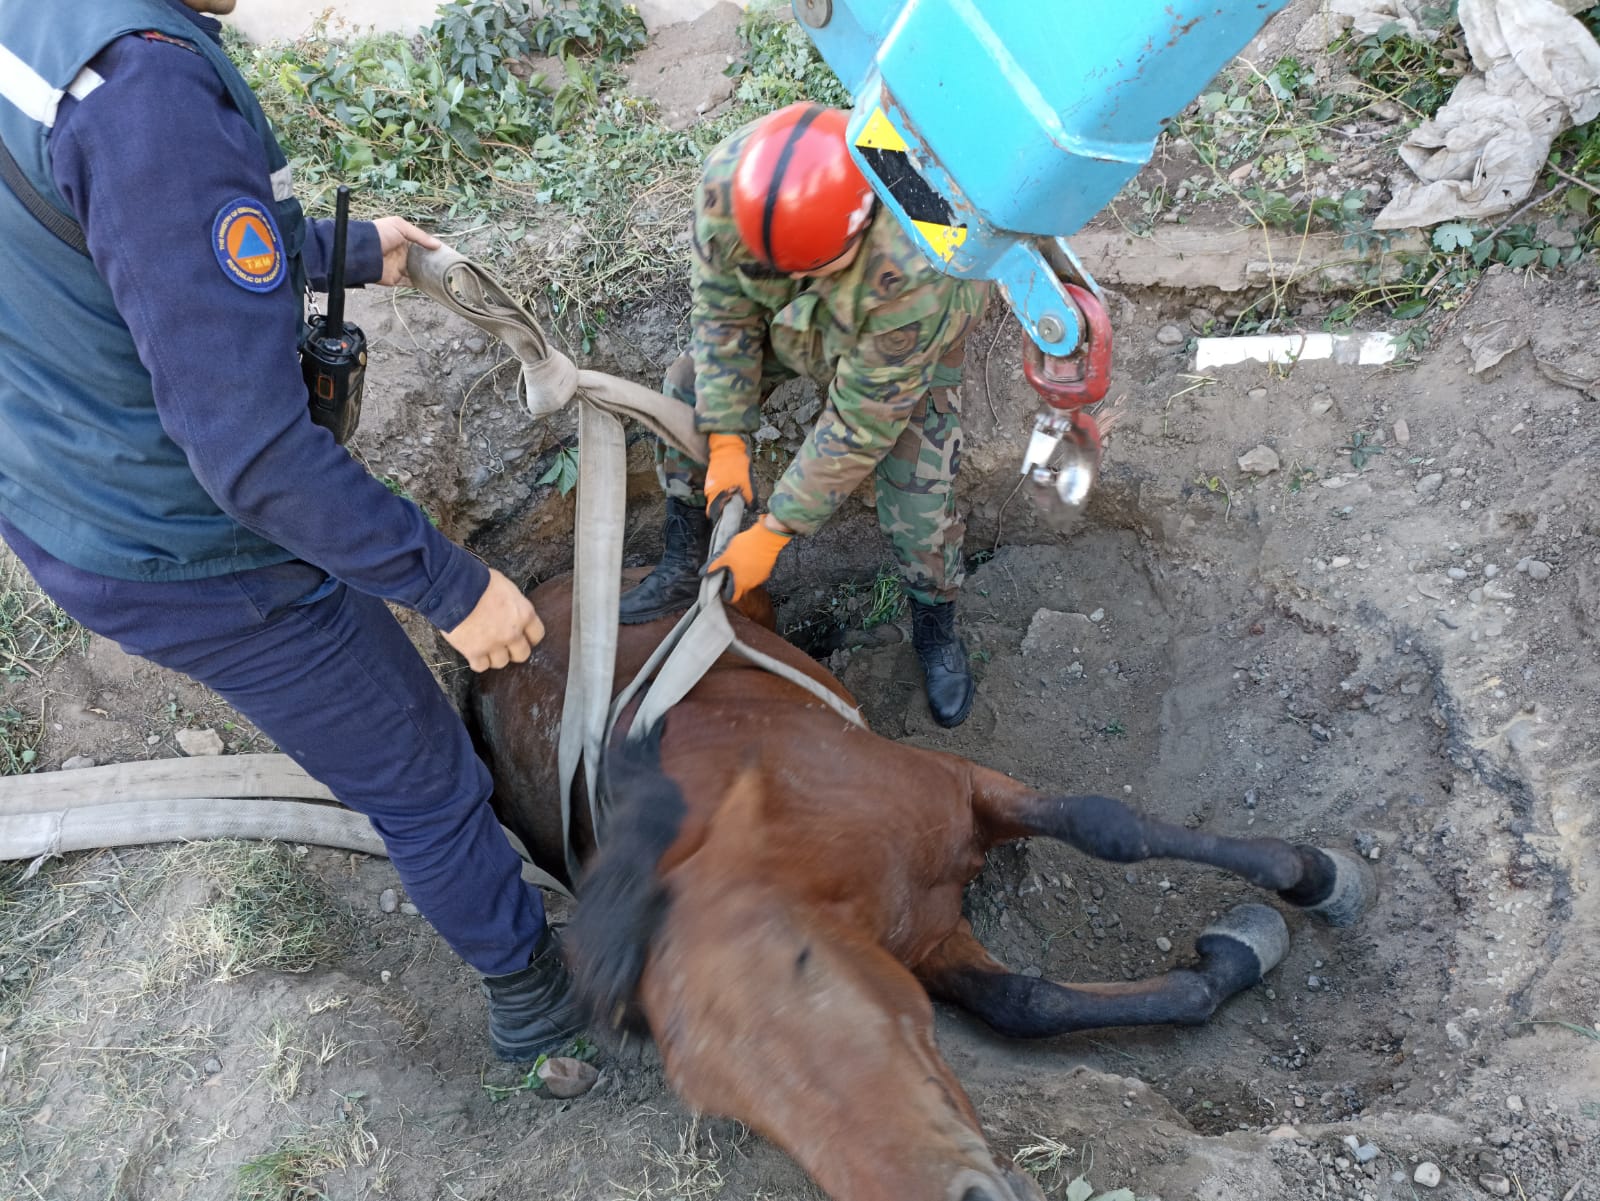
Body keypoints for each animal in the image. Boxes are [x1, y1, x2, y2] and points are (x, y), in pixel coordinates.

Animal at [467, 575, 1376, 1201]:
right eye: (724, 1103)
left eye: (804, 963)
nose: (959, 1195)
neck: (821, 841)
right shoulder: (930, 940)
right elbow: (1030, 1004)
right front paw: (1224, 965)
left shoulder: (962, 783)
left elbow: (1106, 825)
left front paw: (1312, 877)